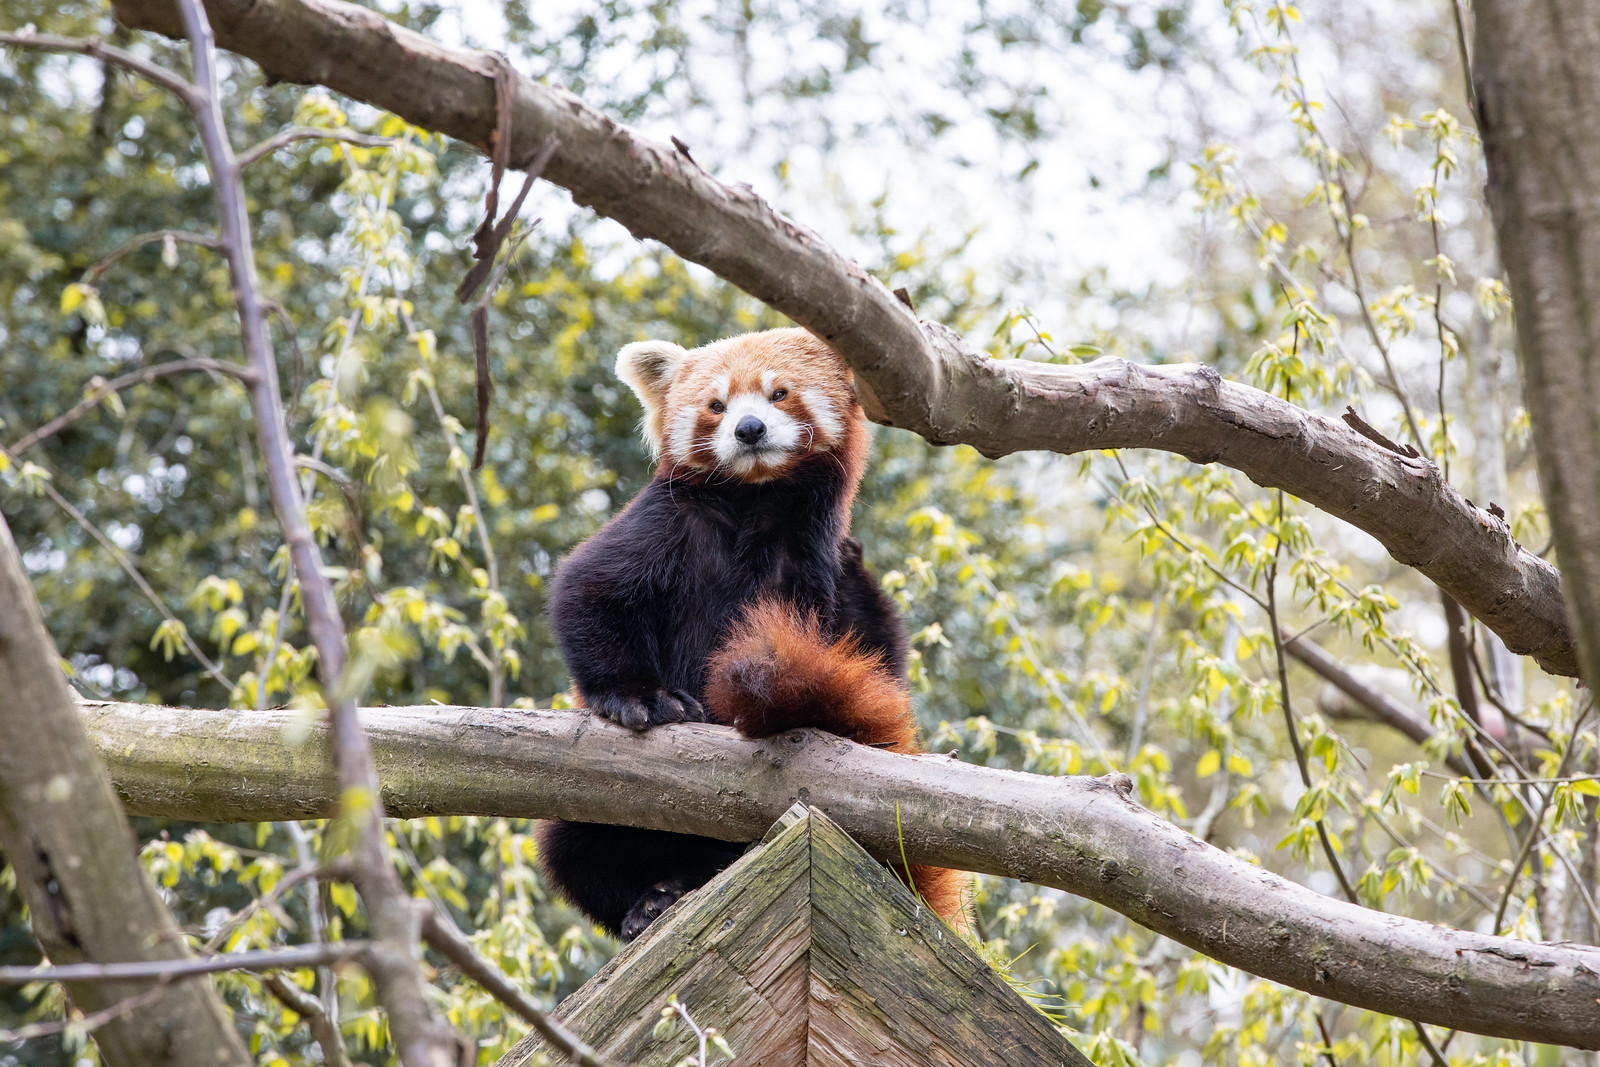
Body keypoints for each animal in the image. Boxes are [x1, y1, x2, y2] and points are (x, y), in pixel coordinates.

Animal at [537, 329, 966, 940]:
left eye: (779, 392)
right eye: (717, 405)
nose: (749, 428)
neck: (754, 501)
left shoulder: (810, 557)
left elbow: (870, 661)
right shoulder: (667, 521)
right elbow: (589, 588)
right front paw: (640, 696)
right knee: (576, 846)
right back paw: (653, 899)